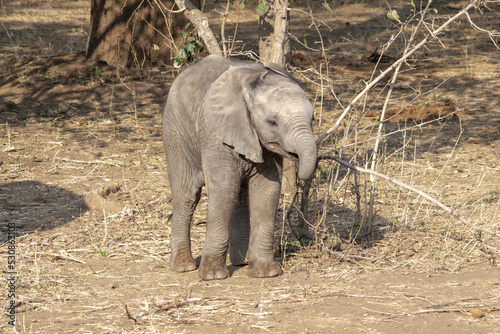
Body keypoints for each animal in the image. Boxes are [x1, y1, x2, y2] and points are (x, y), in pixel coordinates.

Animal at [164, 54, 316, 280]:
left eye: (313, 119)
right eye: (272, 122)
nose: (295, 155)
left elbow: (267, 191)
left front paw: (266, 273)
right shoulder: (214, 135)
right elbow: (223, 188)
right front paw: (213, 276)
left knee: (240, 197)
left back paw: (242, 261)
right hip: (175, 132)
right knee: (187, 194)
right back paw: (183, 267)